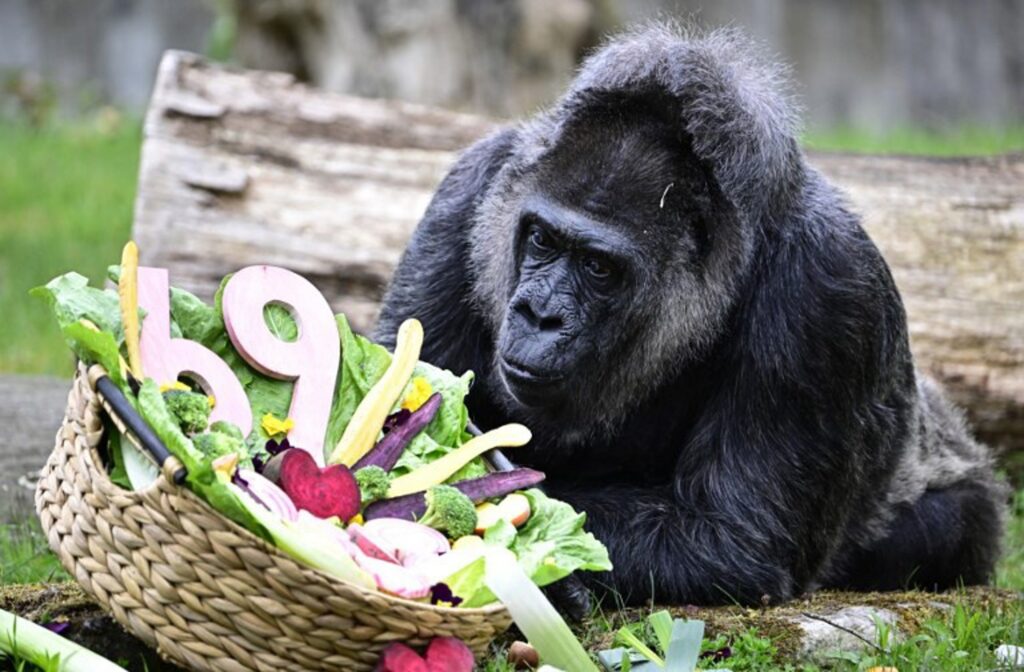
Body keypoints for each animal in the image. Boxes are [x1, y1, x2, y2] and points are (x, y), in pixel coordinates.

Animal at [373, 25, 1006, 608]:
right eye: (542, 239)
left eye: (598, 267)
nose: (539, 314)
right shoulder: (469, 190)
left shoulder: (828, 285)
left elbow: (730, 538)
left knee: (948, 526)